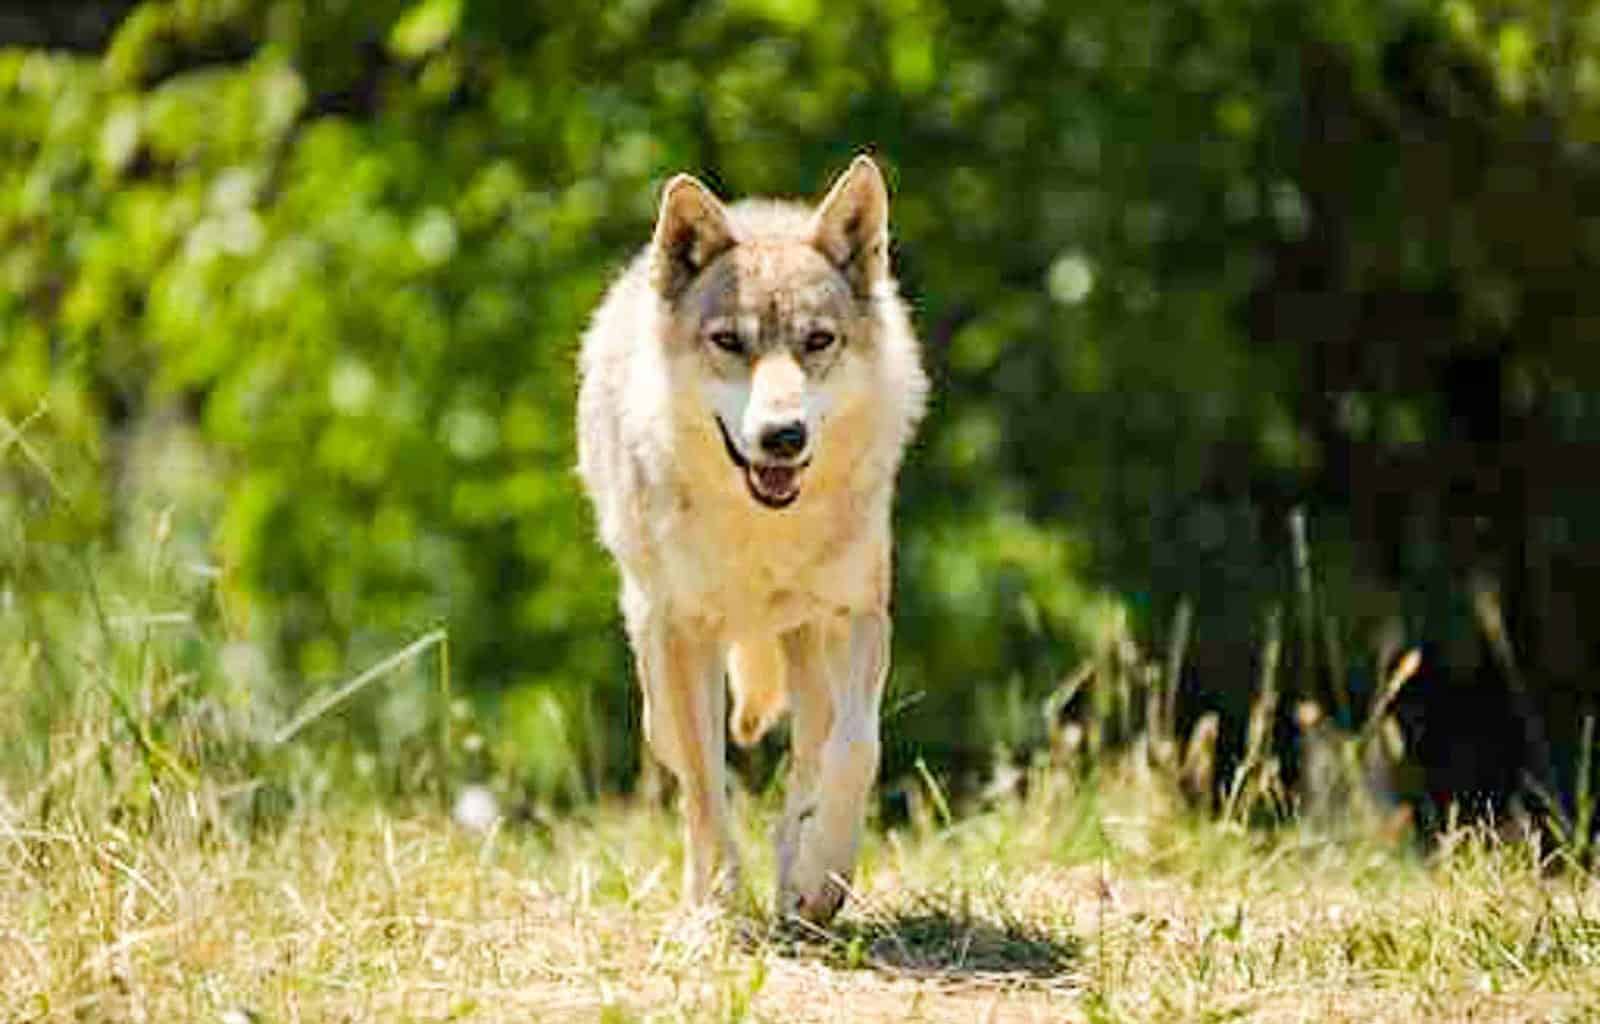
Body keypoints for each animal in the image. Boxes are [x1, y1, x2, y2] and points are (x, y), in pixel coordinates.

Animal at [576, 156, 928, 922]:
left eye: (818, 341)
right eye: (730, 342)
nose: (782, 436)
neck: (762, 530)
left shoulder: (860, 615)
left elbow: (857, 750)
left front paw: (822, 874)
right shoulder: (684, 633)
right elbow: (708, 790)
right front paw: (717, 908)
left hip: (807, 647)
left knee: (812, 752)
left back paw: (800, 882)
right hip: (654, 656)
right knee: (682, 761)